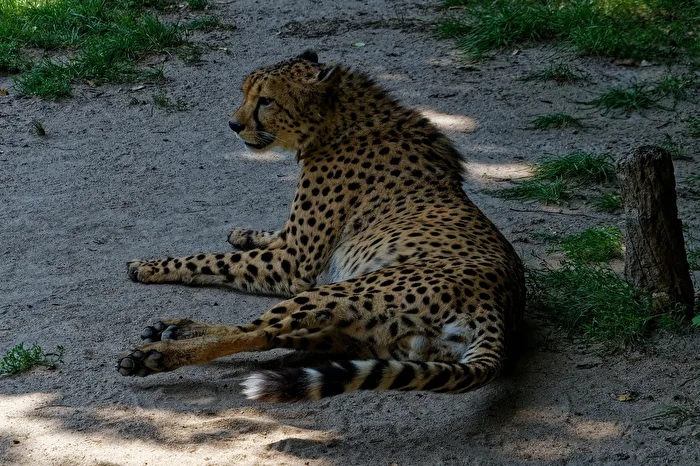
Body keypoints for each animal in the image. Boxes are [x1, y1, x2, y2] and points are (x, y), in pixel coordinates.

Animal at [117, 50, 525, 402]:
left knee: (254, 332)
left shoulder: (296, 264)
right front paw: (245, 234)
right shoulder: (294, 245)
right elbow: (263, 240)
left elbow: (210, 259)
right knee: (273, 337)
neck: (344, 120)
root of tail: (500, 307)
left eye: (266, 101)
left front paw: (151, 265)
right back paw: (174, 329)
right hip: (369, 335)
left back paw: (157, 353)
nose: (234, 125)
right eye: (245, 93)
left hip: (340, 292)